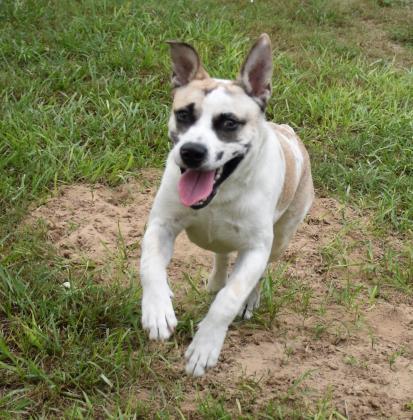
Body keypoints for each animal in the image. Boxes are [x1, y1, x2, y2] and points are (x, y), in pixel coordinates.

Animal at [140, 33, 314, 378]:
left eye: (229, 123)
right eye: (184, 114)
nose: (191, 151)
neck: (221, 193)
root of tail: (287, 132)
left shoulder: (257, 249)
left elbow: (228, 300)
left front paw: (205, 346)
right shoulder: (161, 225)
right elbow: (150, 265)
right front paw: (157, 308)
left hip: (282, 236)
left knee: (257, 273)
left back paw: (248, 299)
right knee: (220, 254)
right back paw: (214, 279)